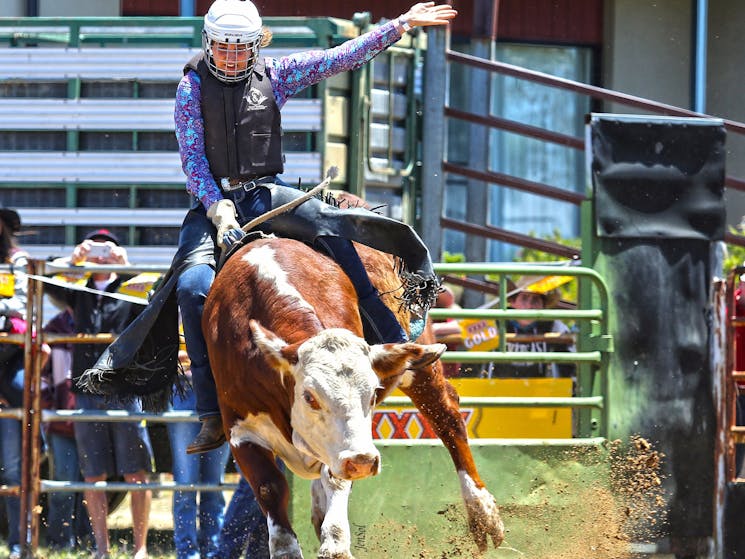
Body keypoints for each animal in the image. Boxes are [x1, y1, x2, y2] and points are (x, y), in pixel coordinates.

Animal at [205, 237, 500, 559]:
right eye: (309, 397)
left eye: (372, 395)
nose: (362, 461)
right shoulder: (241, 430)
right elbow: (270, 487)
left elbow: (335, 479)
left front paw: (335, 542)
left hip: (419, 365)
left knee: (447, 417)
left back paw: (483, 513)